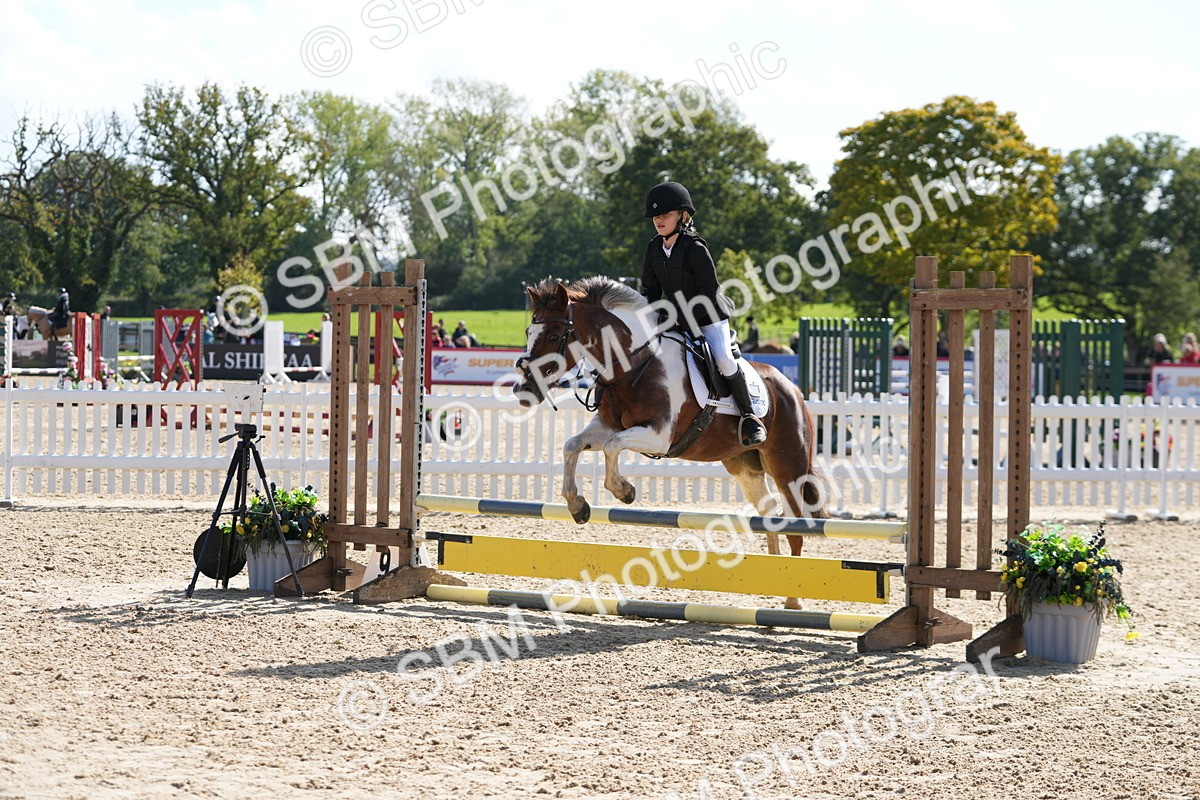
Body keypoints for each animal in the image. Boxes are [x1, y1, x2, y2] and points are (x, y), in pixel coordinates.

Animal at [513, 276, 827, 571]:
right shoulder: (606, 427)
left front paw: (624, 490)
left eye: (554, 335)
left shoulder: (659, 435)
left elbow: (613, 446)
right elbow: (572, 445)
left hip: (788, 466)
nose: (523, 390)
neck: (633, 363)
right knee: (770, 511)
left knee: (795, 526)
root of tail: (793, 389)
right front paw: (578, 506)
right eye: (529, 332)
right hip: (743, 464)